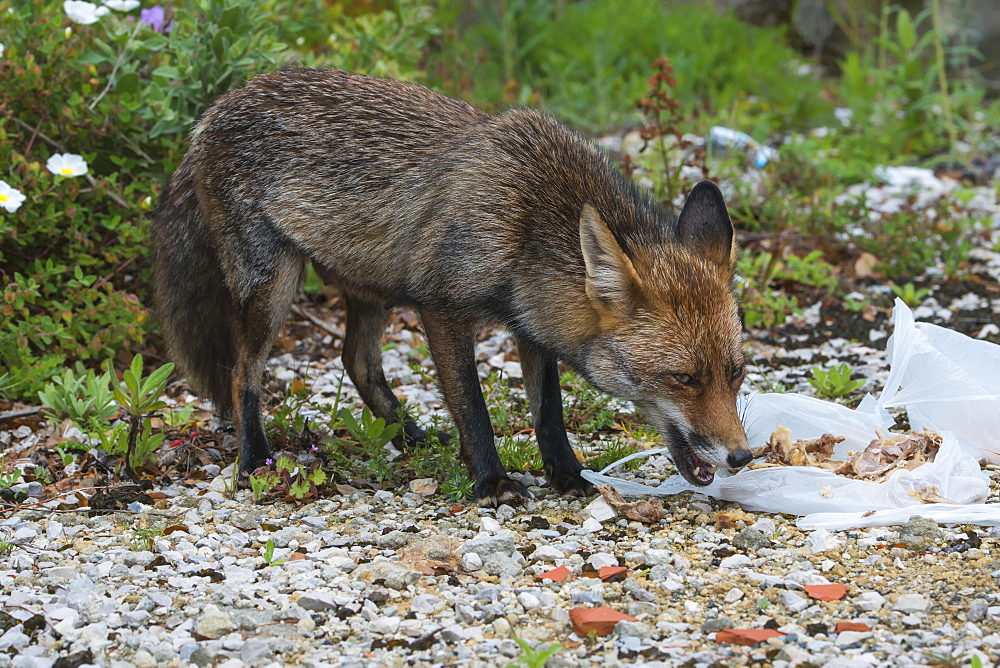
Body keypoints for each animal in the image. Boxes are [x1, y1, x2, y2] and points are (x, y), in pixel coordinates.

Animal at [152, 68, 752, 506]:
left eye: (735, 373)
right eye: (684, 378)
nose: (743, 458)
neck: (529, 216)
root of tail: (216, 107)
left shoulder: (531, 321)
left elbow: (549, 412)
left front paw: (567, 477)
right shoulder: (442, 309)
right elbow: (472, 407)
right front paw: (491, 481)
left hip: (372, 288)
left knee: (357, 363)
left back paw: (411, 439)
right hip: (272, 287)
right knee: (242, 372)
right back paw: (254, 459)